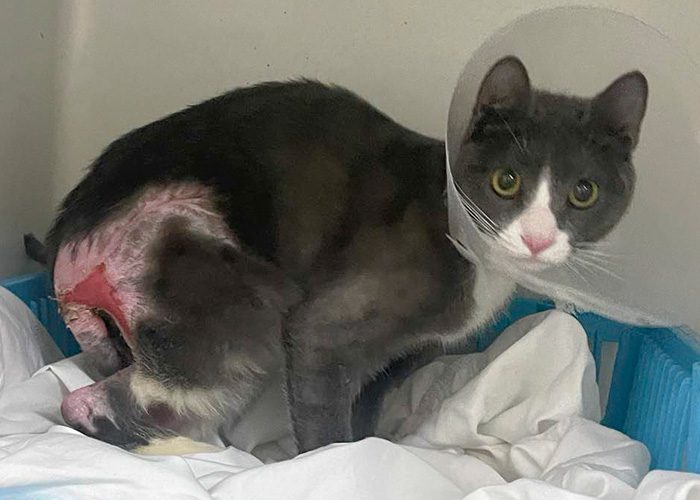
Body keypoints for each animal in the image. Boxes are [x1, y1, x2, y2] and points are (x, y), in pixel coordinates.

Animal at [34, 55, 644, 454]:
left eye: (583, 193)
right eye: (506, 181)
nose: (537, 237)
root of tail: (67, 236)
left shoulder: (400, 359)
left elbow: (367, 407)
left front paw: (369, 445)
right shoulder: (323, 329)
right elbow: (323, 417)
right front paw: (330, 463)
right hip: (231, 295)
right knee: (112, 401)